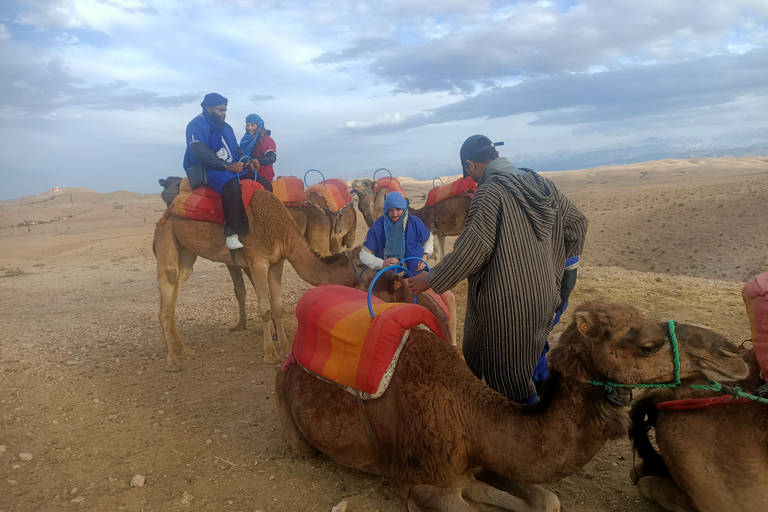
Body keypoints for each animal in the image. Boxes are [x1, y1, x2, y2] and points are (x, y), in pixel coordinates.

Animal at [156, 188, 364, 372]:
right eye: (362, 265)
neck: (283, 230)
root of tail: (167, 212)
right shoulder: (258, 262)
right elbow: (265, 308)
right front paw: (270, 354)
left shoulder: (277, 262)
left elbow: (278, 307)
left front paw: (285, 348)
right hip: (166, 238)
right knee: (166, 288)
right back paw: (172, 363)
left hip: (186, 254)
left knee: (173, 296)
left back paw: (185, 350)